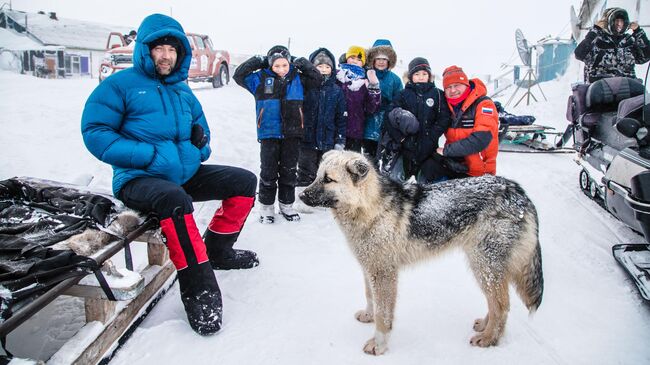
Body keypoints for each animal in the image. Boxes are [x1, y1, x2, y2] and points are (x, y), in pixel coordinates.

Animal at [298, 149, 540, 354]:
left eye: (328, 180)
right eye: (318, 176)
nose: (301, 196)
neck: (370, 207)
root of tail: (518, 191)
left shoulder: (384, 272)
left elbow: (383, 314)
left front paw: (379, 344)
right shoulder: (369, 267)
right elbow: (370, 297)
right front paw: (368, 315)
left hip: (483, 265)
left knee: (502, 305)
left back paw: (489, 339)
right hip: (486, 267)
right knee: (497, 302)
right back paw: (485, 326)